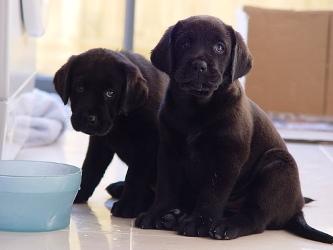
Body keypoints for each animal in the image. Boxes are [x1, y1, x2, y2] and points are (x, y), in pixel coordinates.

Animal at [54, 48, 169, 217]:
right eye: (80, 88)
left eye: (110, 93)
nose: (89, 118)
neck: (120, 120)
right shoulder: (99, 142)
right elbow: (90, 168)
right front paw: (78, 194)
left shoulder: (147, 145)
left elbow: (135, 175)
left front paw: (128, 206)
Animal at [134, 14, 332, 243]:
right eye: (184, 43)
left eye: (220, 47)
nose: (199, 65)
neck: (196, 107)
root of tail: (296, 208)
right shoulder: (169, 150)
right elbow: (166, 186)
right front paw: (157, 213)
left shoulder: (226, 157)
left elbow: (212, 193)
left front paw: (199, 222)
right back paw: (174, 216)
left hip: (278, 166)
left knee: (256, 217)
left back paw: (226, 225)